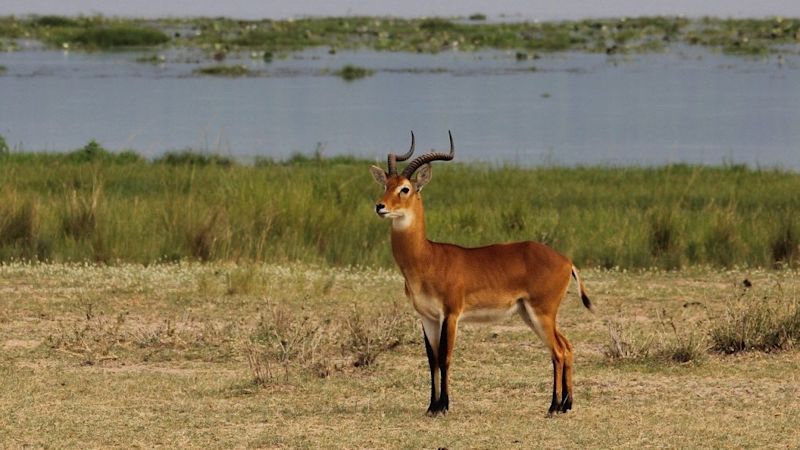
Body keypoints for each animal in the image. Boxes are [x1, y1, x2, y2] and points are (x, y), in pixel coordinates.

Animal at [372, 132, 592, 416]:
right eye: (386, 184)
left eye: (405, 189)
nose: (380, 206)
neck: (427, 257)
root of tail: (567, 261)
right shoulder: (427, 317)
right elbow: (432, 360)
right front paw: (432, 406)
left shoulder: (451, 314)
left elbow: (445, 357)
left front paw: (444, 406)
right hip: (530, 314)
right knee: (567, 346)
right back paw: (566, 404)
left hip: (542, 313)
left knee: (558, 351)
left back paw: (553, 407)